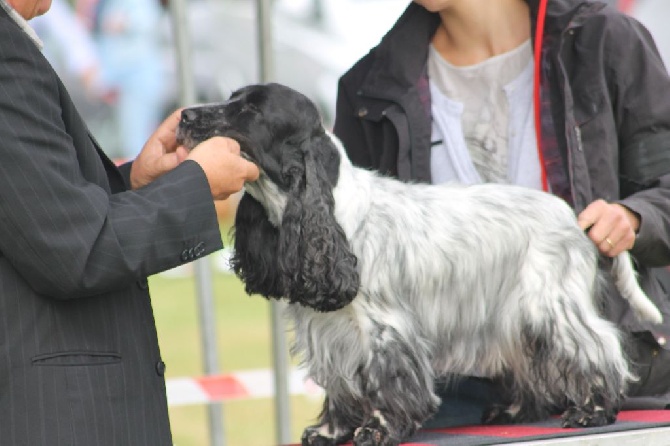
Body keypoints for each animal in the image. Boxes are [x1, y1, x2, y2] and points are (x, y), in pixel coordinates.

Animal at [176, 82, 664, 444]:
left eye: (252, 111)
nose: (183, 117)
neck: (333, 213)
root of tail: (573, 216)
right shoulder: (328, 330)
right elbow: (338, 382)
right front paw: (329, 431)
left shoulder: (382, 327)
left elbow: (383, 378)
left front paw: (377, 429)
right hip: (513, 314)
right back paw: (509, 410)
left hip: (552, 301)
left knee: (599, 345)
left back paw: (593, 409)